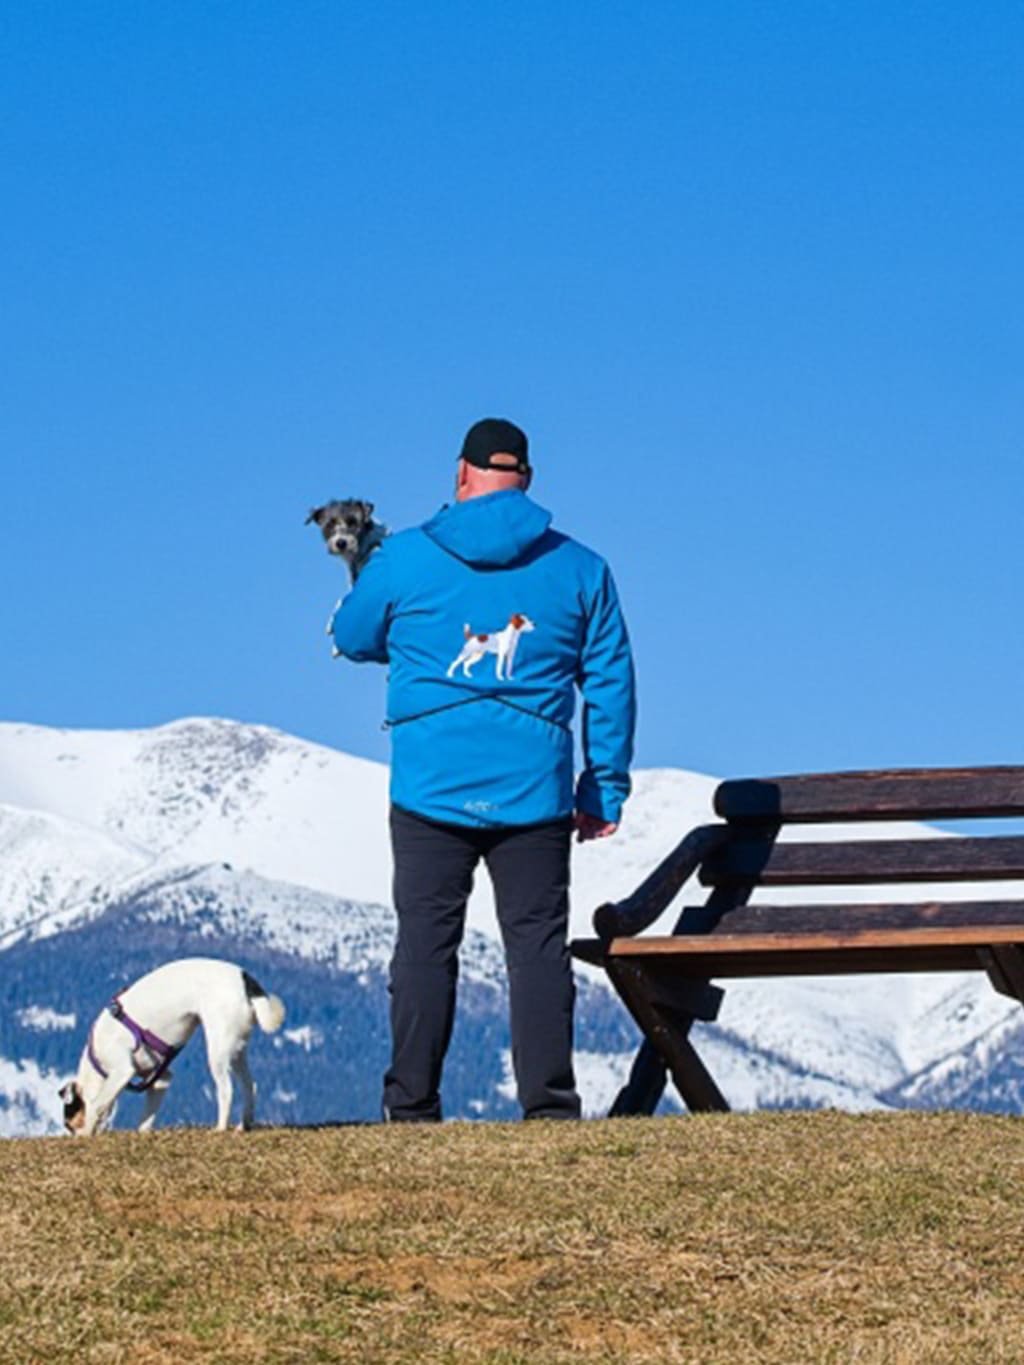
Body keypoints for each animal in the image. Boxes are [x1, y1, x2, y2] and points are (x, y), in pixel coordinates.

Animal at [59, 960, 285, 1141]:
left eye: (70, 1124)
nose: (74, 1137)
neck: (97, 1060)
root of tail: (244, 979)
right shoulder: (161, 1077)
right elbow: (146, 1116)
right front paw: (142, 1133)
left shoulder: (123, 1071)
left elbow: (97, 1105)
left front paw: (87, 1132)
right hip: (237, 1050)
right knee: (250, 1086)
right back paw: (243, 1125)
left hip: (217, 1049)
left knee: (226, 1090)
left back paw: (220, 1128)